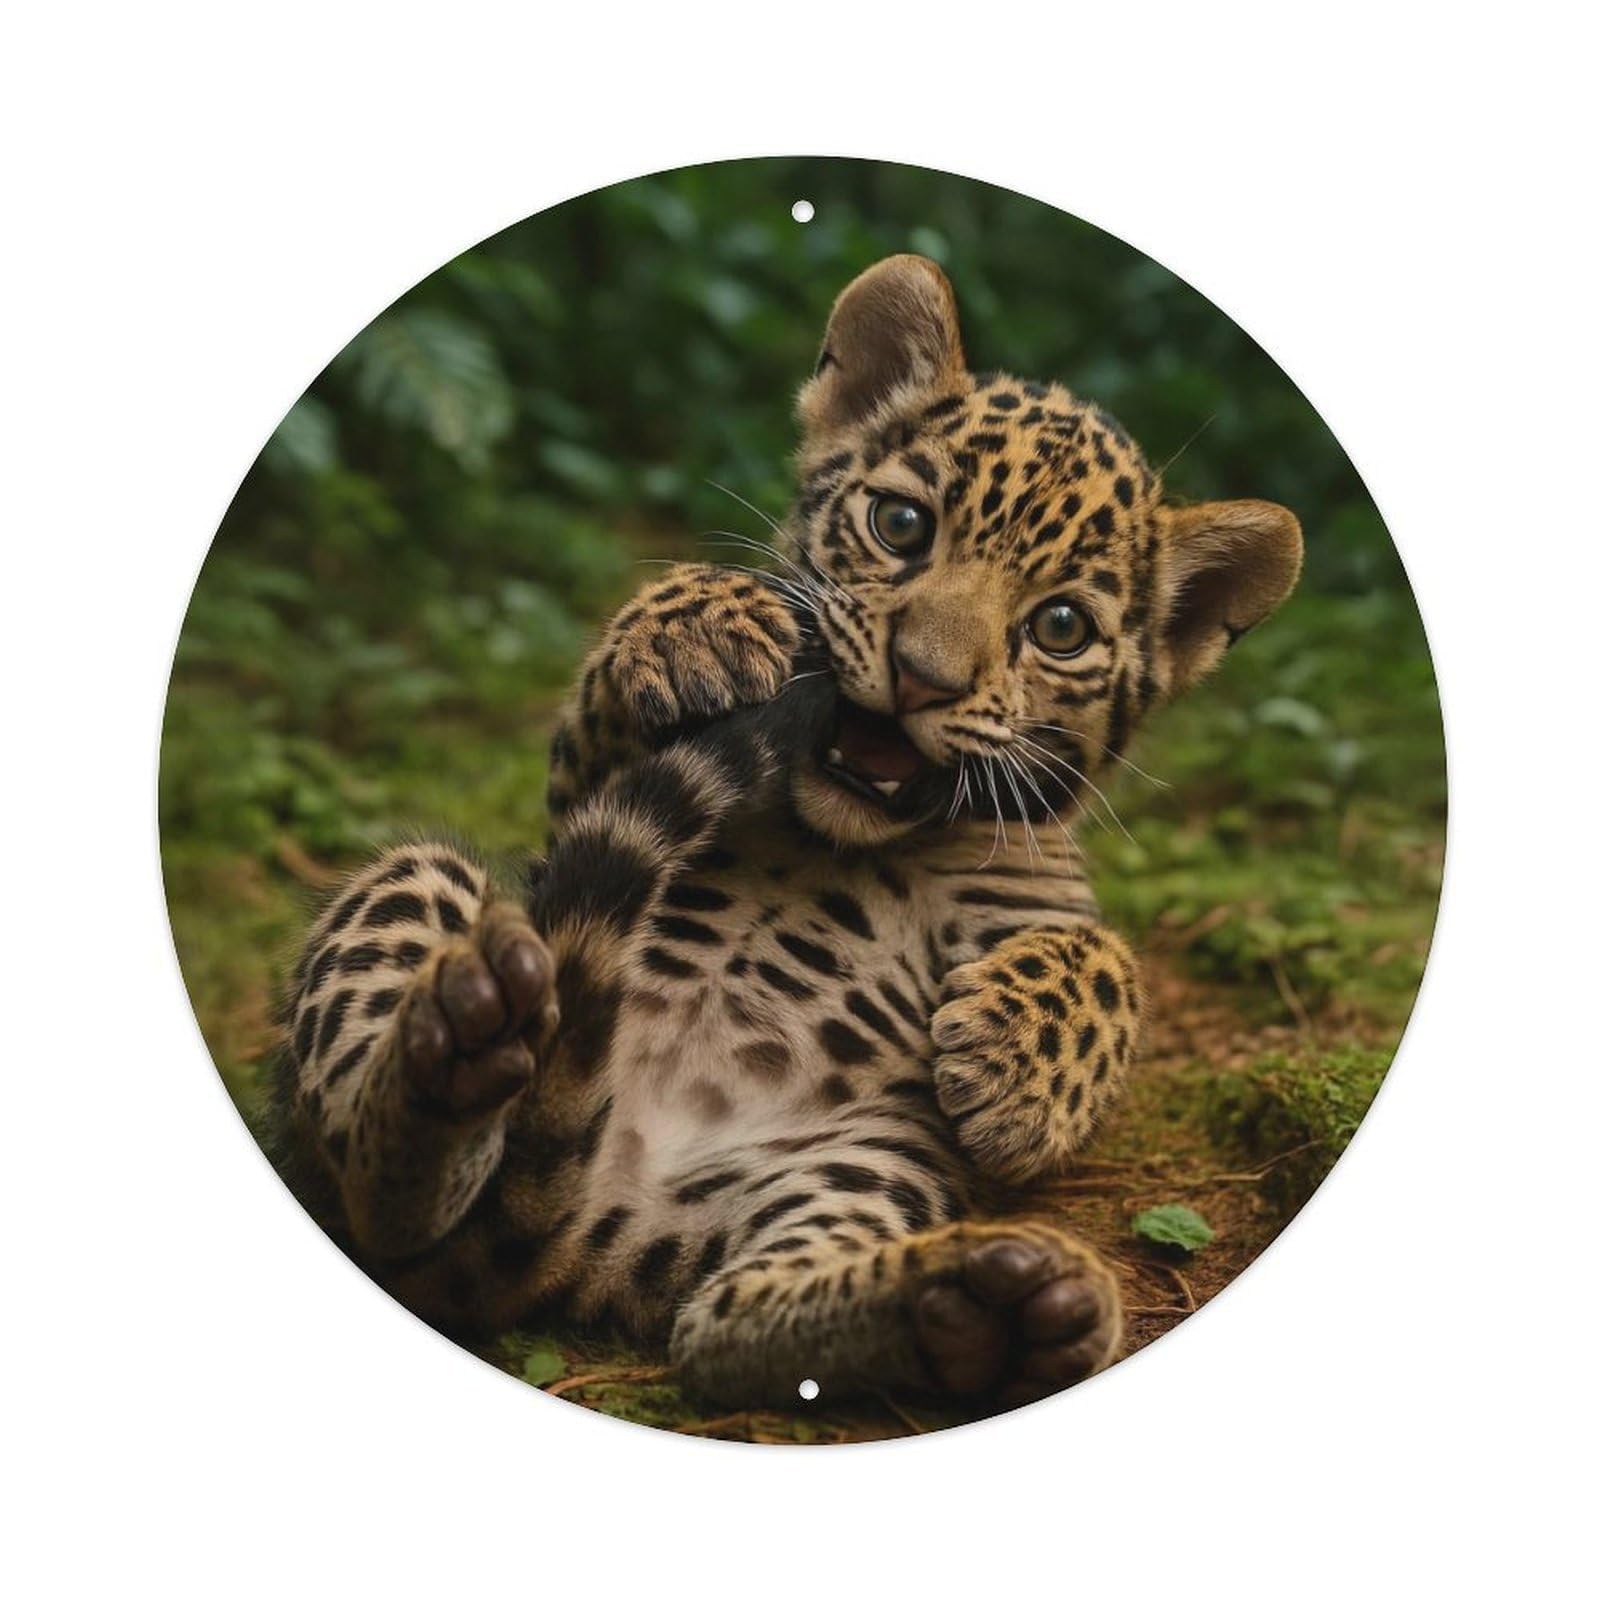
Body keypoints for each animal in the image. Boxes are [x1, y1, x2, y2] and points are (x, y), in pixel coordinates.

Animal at [272, 254, 1302, 1417]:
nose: (922, 677)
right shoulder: (584, 790)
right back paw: (460, 1033)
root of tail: (581, 1207)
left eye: (1061, 628)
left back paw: (995, 1307)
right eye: (901, 526)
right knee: (377, 1181)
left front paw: (1014, 1073)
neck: (854, 833)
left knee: (721, 1327)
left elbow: (1109, 965)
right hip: (425, 891)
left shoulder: (1039, 899)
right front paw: (699, 624)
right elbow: (631, 670)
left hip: (873, 1157)